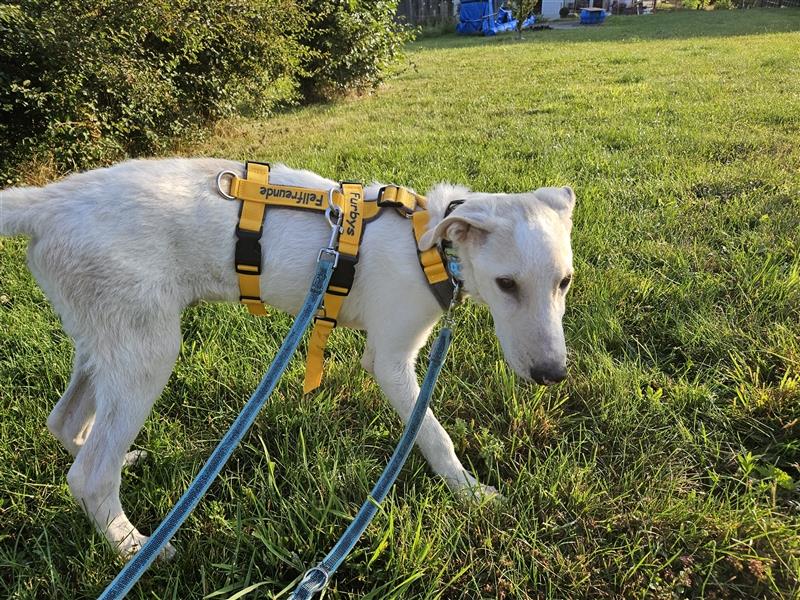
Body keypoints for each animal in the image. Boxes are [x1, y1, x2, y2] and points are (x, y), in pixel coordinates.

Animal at [0, 159, 576, 556]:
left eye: (564, 282)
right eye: (506, 284)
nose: (552, 374)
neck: (430, 245)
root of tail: (49, 202)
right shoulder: (390, 362)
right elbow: (433, 434)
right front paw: (470, 495)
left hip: (106, 342)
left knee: (66, 422)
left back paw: (123, 466)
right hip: (147, 351)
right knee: (90, 475)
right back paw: (134, 548)